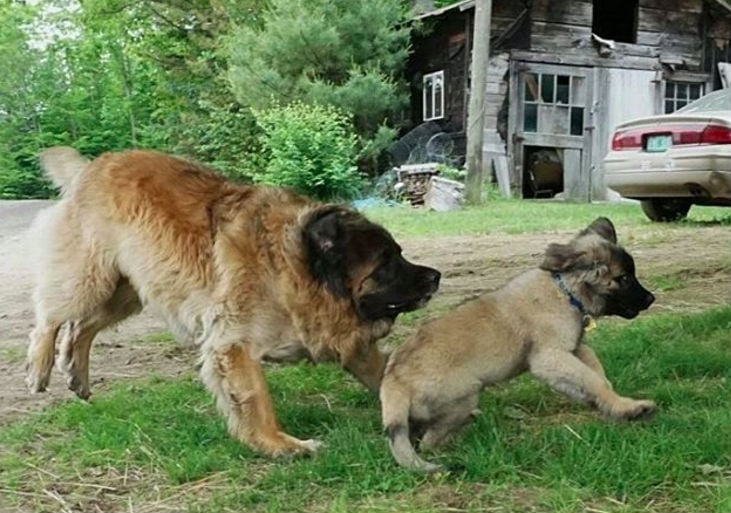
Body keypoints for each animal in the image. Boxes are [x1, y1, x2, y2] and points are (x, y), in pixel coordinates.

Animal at [27, 146, 440, 454]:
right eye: (386, 263)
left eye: (399, 254)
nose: (436, 276)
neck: (289, 266)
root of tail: (92, 166)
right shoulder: (232, 345)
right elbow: (256, 399)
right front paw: (279, 444)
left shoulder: (345, 338)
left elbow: (385, 375)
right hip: (90, 280)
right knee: (50, 317)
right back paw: (39, 368)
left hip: (129, 290)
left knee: (82, 327)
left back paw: (77, 376)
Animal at [384, 217, 656, 472]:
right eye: (623, 278)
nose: (651, 299)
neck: (564, 290)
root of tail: (394, 381)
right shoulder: (550, 357)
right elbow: (593, 380)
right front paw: (627, 407)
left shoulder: (574, 349)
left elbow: (596, 374)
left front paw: (608, 404)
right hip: (465, 395)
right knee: (429, 441)